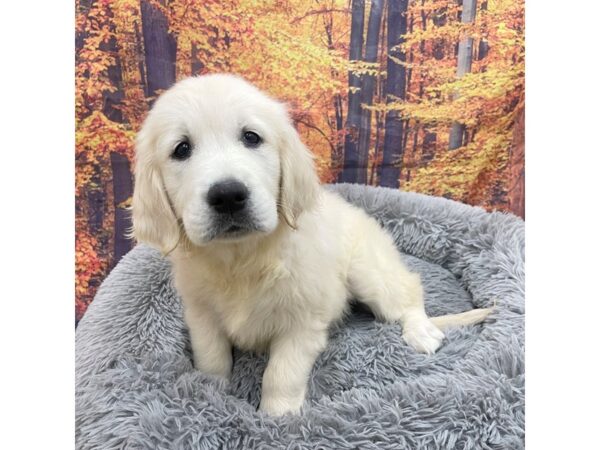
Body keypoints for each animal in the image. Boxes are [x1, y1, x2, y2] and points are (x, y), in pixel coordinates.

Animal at [130, 74, 488, 414]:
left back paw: (421, 331)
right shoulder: (201, 312)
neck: (242, 257)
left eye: (251, 137)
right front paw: (210, 393)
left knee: (408, 293)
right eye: (181, 149)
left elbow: (281, 374)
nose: (228, 195)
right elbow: (211, 357)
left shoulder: (303, 321)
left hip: (369, 271)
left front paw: (278, 416)